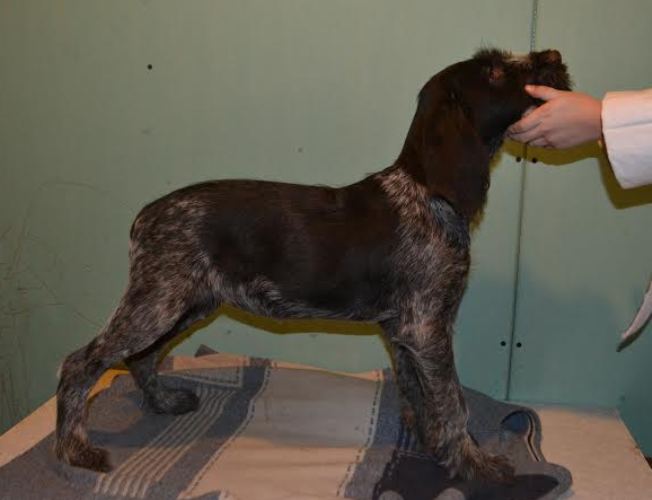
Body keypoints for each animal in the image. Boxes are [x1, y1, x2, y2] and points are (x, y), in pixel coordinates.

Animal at [55, 48, 570, 481]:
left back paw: (162, 401)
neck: (427, 192)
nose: (553, 55)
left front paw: (430, 443)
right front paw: (472, 463)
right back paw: (74, 449)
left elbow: (418, 393)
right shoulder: (427, 326)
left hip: (184, 301)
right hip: (159, 302)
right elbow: (452, 402)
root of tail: (146, 216)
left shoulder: (406, 329)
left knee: (140, 356)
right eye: (495, 71)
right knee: (81, 361)